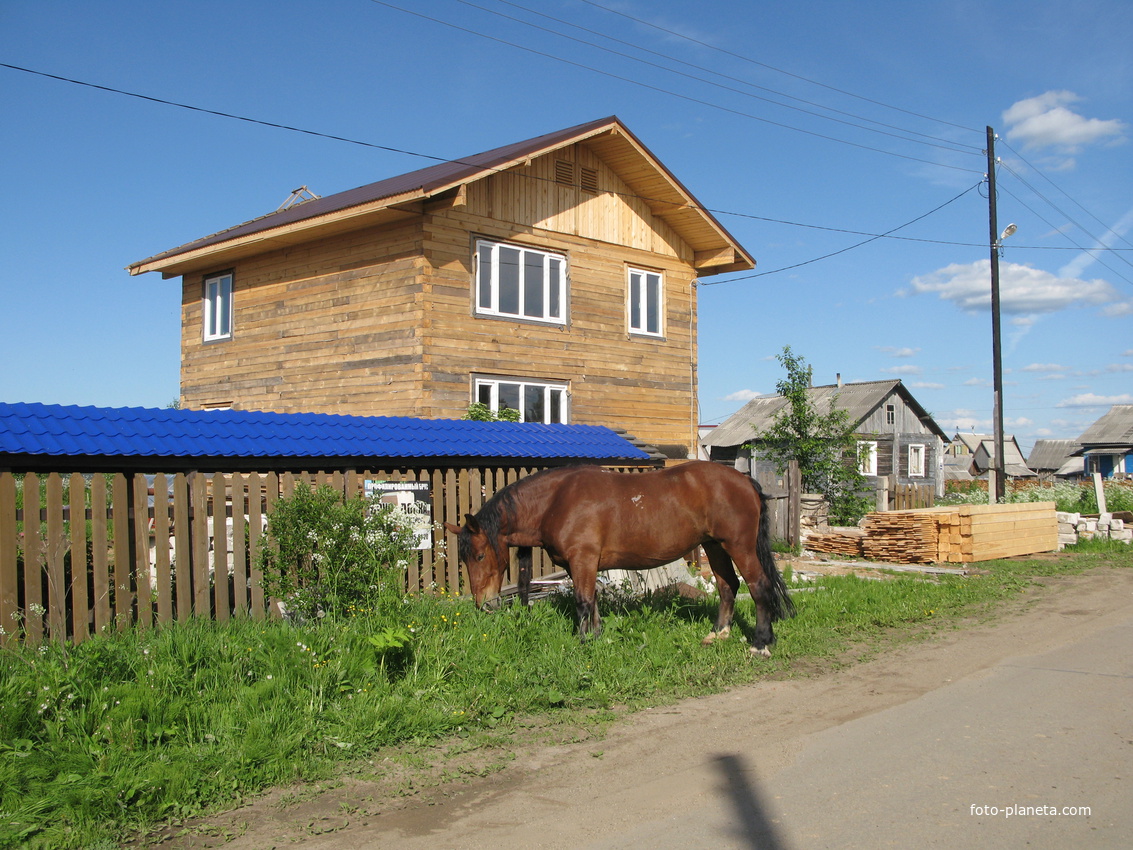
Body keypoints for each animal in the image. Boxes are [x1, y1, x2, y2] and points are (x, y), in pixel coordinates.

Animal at [444, 466, 797, 657]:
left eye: (479, 555)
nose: (484, 605)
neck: (557, 500)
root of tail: (745, 481)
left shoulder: (583, 559)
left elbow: (583, 602)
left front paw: (583, 642)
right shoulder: (583, 565)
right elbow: (593, 602)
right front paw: (597, 637)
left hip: (738, 546)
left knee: (759, 587)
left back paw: (761, 643)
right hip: (714, 546)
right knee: (728, 586)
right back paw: (719, 634)